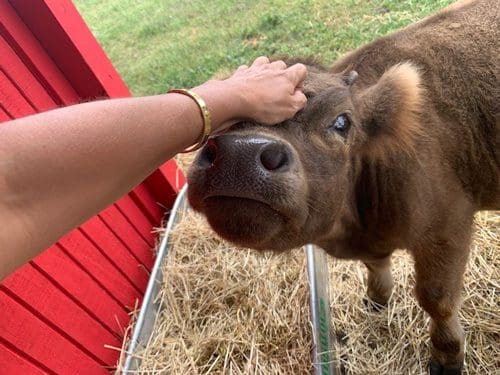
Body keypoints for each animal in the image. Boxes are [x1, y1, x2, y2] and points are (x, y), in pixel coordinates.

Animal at [187, 1, 496, 374]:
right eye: (225, 116)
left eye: (342, 121)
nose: (240, 154)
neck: (356, 228)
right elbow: (374, 265)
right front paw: (376, 299)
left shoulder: (447, 230)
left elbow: (437, 300)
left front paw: (446, 358)